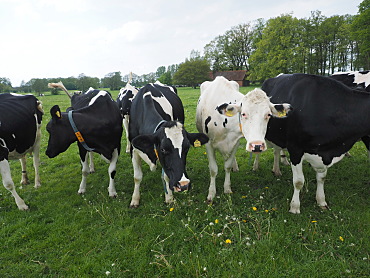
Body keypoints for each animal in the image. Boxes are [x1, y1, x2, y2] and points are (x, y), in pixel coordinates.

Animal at [258, 73, 370, 214]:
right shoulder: (295, 149)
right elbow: (298, 181)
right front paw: (295, 207)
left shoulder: (323, 152)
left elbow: (321, 178)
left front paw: (321, 201)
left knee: (277, 150)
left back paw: (277, 170)